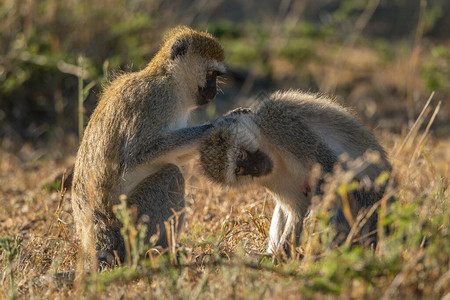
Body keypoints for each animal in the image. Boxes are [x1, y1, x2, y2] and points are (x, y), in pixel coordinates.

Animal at [72, 25, 225, 264]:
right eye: (211, 74)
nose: (215, 92)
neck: (169, 80)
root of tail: (98, 242)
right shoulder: (156, 100)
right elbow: (139, 155)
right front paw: (218, 124)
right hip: (129, 224)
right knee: (172, 176)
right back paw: (159, 251)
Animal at [199, 90, 392, 254]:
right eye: (238, 169)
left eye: (241, 154)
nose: (253, 168)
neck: (270, 147)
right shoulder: (269, 176)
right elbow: (296, 208)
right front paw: (280, 255)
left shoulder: (281, 121)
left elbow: (331, 170)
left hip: (372, 210)